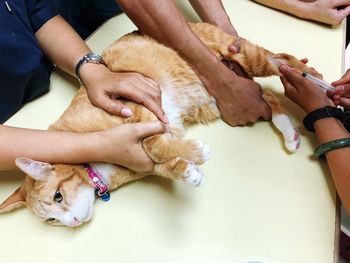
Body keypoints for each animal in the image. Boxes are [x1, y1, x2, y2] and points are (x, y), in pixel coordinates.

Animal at [0, 22, 318, 228]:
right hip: (223, 98)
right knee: (265, 95)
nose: (74, 222)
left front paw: (195, 152)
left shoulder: (145, 107)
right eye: (52, 219)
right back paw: (289, 133)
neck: (99, 170)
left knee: (281, 60)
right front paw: (188, 171)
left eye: (58, 196)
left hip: (246, 57)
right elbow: (161, 163)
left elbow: (153, 144)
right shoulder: (143, 161)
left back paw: (311, 79)